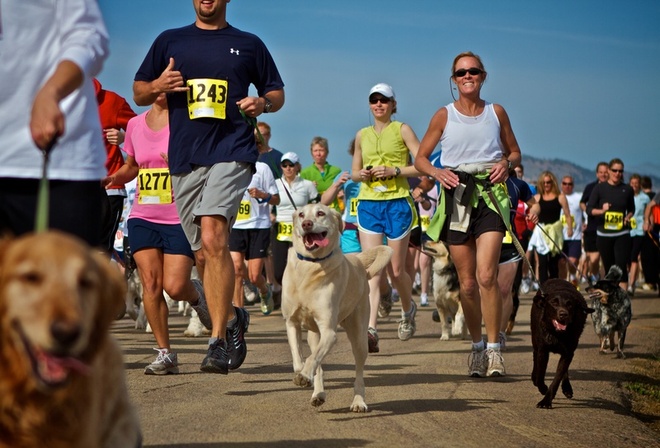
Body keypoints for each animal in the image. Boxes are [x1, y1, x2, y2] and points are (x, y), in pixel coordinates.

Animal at [282, 204, 392, 412]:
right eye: (301, 214)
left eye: (320, 213)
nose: (306, 224)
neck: (310, 266)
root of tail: (358, 261)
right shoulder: (292, 323)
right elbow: (298, 356)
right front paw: (303, 373)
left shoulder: (329, 331)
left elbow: (312, 359)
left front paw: (304, 375)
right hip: (314, 336)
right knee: (318, 361)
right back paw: (318, 394)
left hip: (359, 337)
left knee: (358, 372)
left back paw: (358, 401)